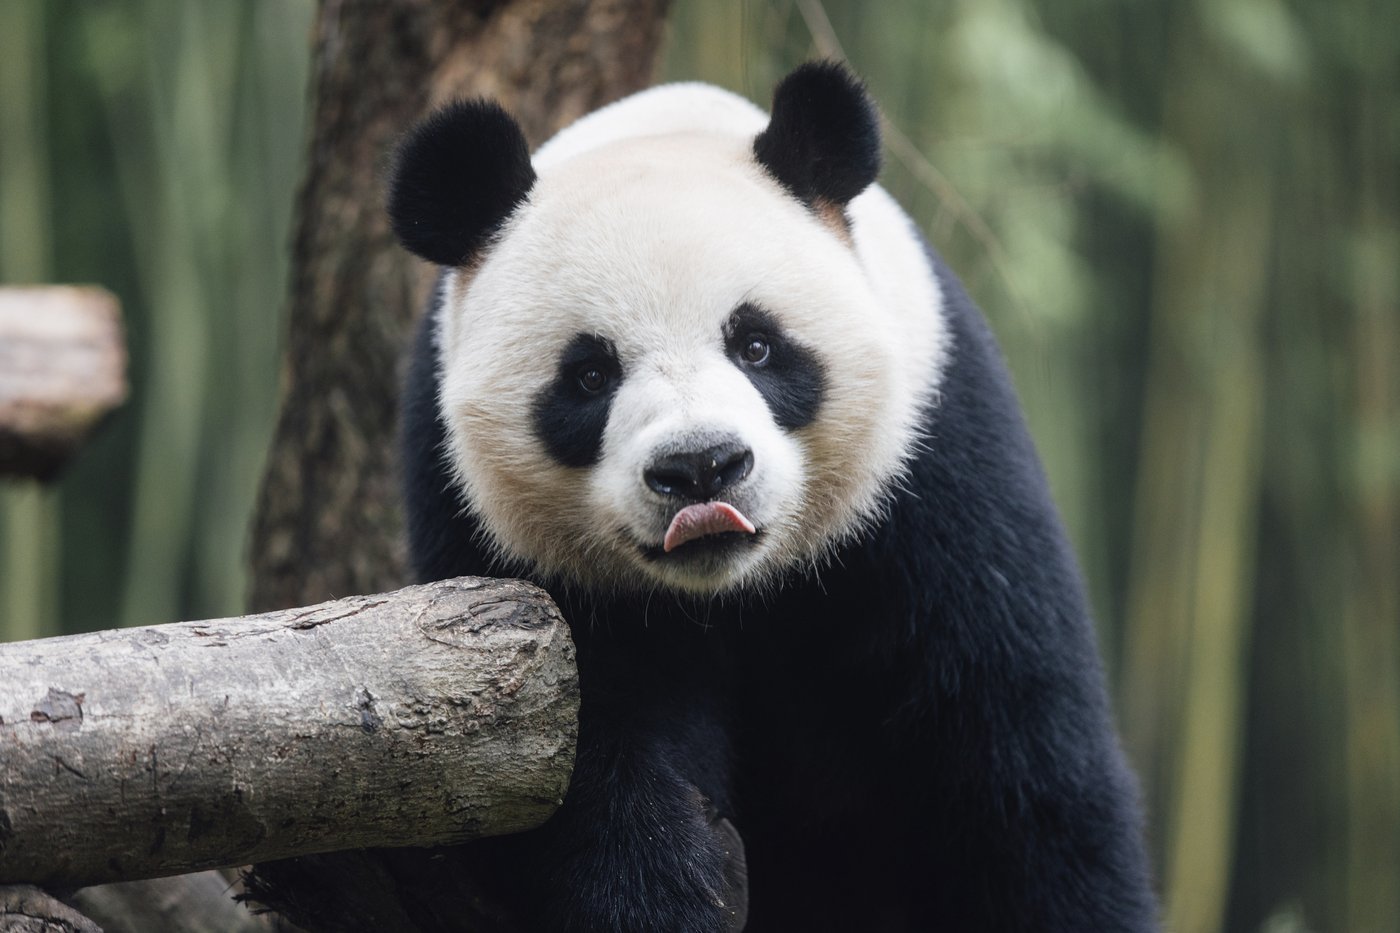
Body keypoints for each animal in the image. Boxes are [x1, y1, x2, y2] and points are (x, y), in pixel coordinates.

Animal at [389, 62, 1158, 932]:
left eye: (756, 344)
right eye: (588, 374)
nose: (700, 468)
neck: (733, 589)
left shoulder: (940, 471)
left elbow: (1016, 768)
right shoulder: (493, 538)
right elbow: (586, 757)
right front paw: (666, 891)